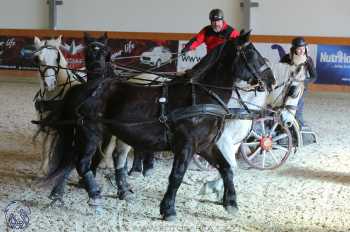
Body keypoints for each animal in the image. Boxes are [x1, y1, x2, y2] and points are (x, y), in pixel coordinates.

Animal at [38, 31, 274, 220]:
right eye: (250, 52)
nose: (271, 80)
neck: (202, 97)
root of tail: (84, 87)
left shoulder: (206, 145)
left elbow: (227, 169)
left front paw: (230, 203)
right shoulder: (186, 145)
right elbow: (177, 176)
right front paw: (168, 209)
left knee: (72, 159)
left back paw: (60, 194)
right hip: (90, 132)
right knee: (82, 162)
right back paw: (94, 195)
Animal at [201, 60, 308, 197]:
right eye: (294, 92)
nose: (288, 121)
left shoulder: (234, 141)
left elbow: (231, 165)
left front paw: (213, 186)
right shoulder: (223, 139)